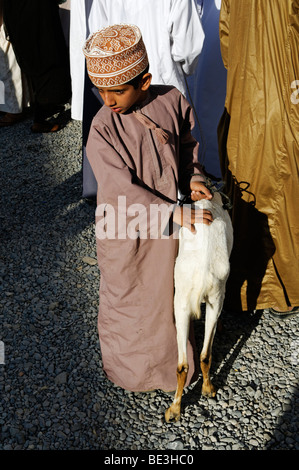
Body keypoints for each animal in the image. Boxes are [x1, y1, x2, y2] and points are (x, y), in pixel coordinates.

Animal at [166, 191, 234, 422]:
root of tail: (203, 274)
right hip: (214, 298)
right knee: (204, 355)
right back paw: (206, 389)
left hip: (181, 304)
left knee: (184, 365)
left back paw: (174, 410)